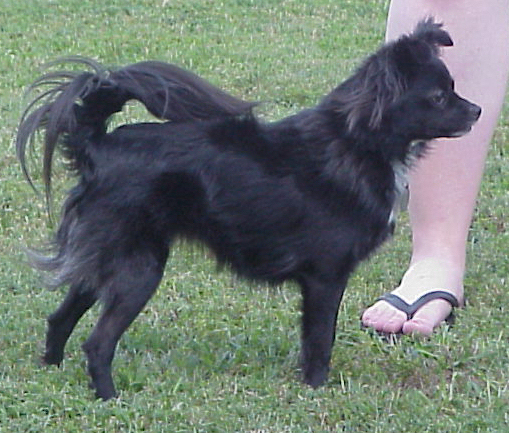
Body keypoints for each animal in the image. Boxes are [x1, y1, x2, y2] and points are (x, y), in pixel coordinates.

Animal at [14, 19, 476, 398]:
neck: (356, 141)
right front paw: (317, 388)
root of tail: (97, 144)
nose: (477, 110)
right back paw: (109, 397)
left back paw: (52, 368)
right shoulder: (325, 278)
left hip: (105, 257)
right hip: (138, 268)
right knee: (97, 342)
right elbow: (319, 340)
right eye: (438, 97)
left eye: (454, 87)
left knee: (60, 317)